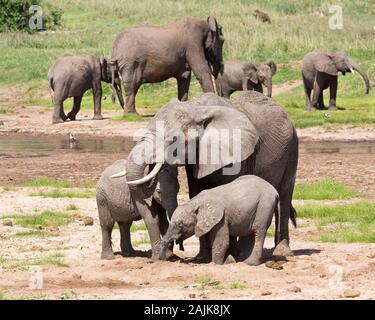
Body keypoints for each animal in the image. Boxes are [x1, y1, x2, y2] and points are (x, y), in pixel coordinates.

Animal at [115, 90, 300, 260]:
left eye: (173, 140)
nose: (157, 166)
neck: (196, 108)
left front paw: (231, 257)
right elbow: (196, 191)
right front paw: (202, 258)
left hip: (292, 148)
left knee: (284, 195)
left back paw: (279, 252)